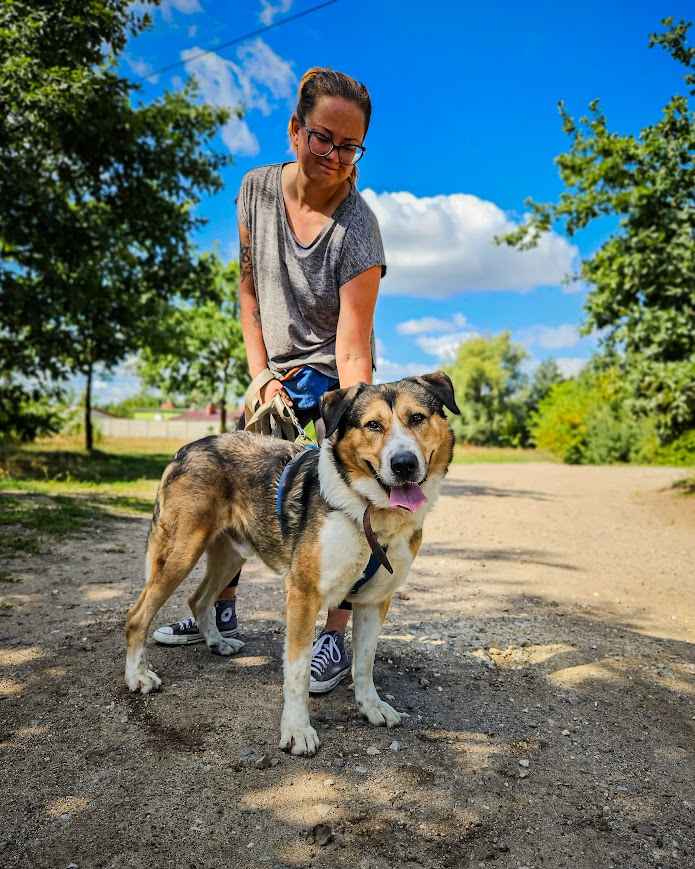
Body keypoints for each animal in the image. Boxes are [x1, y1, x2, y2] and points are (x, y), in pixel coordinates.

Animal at [125, 372, 462, 752]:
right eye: (373, 425)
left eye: (417, 418)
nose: (404, 464)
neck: (368, 512)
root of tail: (189, 448)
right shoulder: (303, 593)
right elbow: (298, 672)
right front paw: (298, 729)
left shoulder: (375, 601)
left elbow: (364, 662)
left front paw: (371, 705)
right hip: (182, 551)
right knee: (137, 615)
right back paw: (138, 676)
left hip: (230, 554)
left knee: (199, 598)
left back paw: (216, 642)